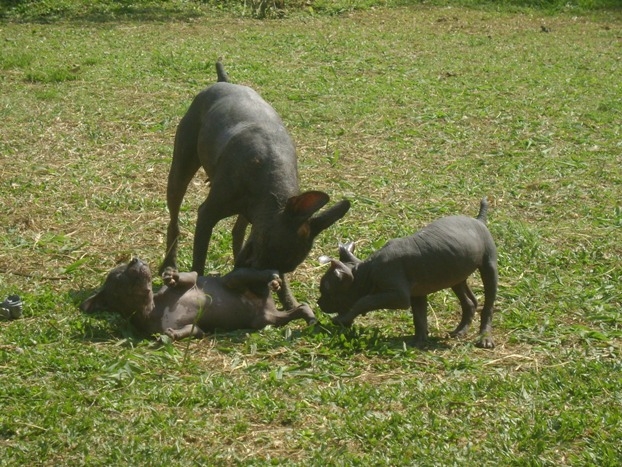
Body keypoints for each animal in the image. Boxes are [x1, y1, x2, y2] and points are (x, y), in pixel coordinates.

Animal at [81, 260, 316, 340]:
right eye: (120, 275)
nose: (135, 259)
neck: (151, 308)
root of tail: (268, 304)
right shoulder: (195, 328)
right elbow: (189, 331)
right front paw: (172, 335)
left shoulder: (191, 280)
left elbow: (189, 276)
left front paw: (172, 276)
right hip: (266, 320)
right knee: (299, 309)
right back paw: (309, 316)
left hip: (235, 280)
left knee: (246, 275)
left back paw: (271, 276)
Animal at [161, 62, 352, 310]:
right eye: (265, 249)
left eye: (287, 268)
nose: (259, 291)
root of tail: (224, 81)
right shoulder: (207, 215)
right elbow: (199, 259)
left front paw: (288, 300)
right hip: (180, 172)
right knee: (174, 221)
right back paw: (169, 265)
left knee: (237, 231)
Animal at [320, 199, 500, 350]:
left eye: (325, 290)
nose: (318, 303)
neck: (367, 271)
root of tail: (479, 220)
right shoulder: (417, 294)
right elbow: (419, 318)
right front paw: (419, 341)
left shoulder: (399, 296)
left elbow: (364, 301)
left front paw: (342, 320)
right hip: (455, 275)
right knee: (469, 302)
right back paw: (460, 331)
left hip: (489, 267)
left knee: (488, 305)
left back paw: (485, 338)